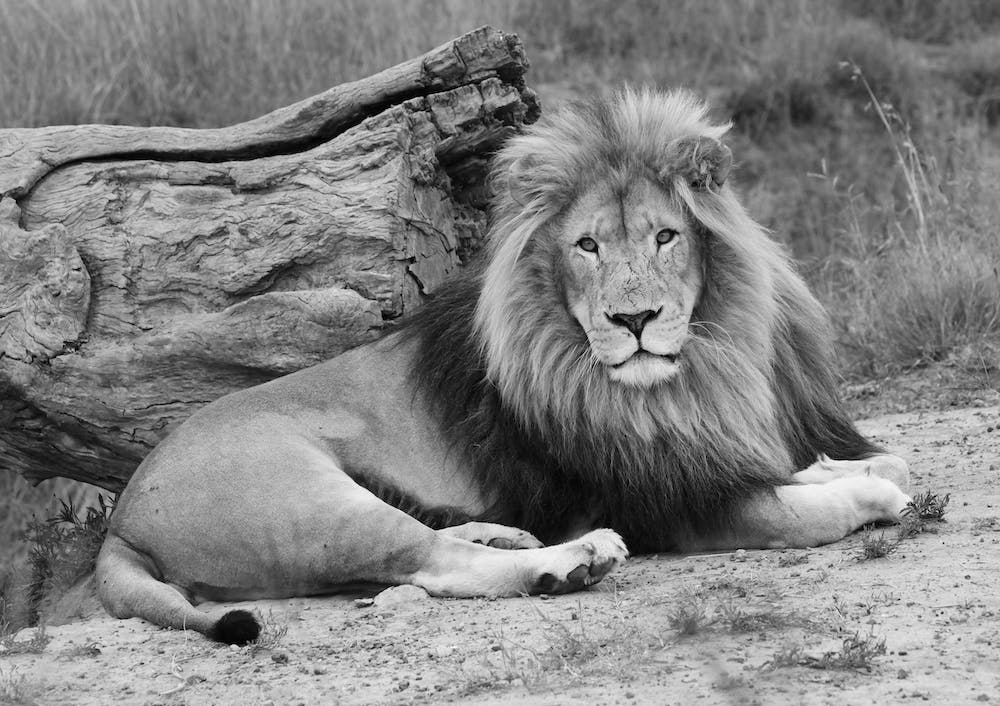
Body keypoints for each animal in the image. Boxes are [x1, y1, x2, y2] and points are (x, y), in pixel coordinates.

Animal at [96, 88, 910, 645]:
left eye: (666, 237)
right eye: (587, 246)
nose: (635, 321)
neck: (679, 383)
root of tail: (122, 518)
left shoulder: (704, 452)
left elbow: (834, 464)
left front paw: (855, 466)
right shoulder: (675, 504)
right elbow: (807, 508)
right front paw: (873, 494)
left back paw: (509, 535)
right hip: (308, 503)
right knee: (429, 563)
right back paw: (569, 559)